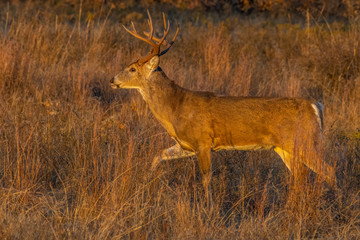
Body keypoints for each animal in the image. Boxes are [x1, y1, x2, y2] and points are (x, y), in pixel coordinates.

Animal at [110, 9, 338, 204]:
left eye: (132, 69)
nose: (112, 80)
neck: (175, 107)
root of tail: (316, 105)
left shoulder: (203, 141)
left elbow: (206, 177)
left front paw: (208, 207)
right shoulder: (186, 144)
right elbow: (157, 156)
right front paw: (145, 183)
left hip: (305, 141)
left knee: (329, 170)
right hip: (285, 147)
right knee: (300, 176)